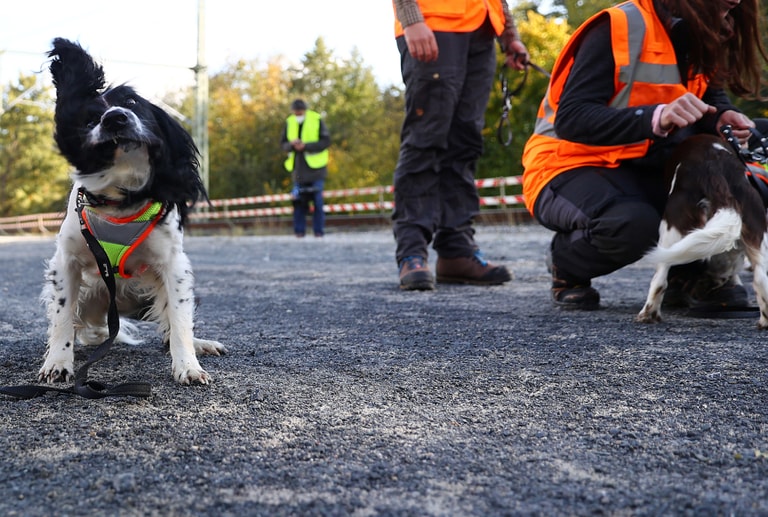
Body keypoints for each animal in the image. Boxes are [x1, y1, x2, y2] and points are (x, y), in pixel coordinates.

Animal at [40, 38, 225, 384]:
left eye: (132, 102)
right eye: (90, 120)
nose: (115, 118)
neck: (119, 198)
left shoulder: (174, 266)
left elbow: (180, 321)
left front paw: (188, 366)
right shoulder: (66, 264)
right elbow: (62, 318)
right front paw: (57, 362)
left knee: (170, 326)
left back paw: (198, 344)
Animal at [636, 133, 768, 326]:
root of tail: (714, 167)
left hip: (670, 230)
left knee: (660, 278)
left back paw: (648, 314)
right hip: (757, 226)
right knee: (760, 279)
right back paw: (764, 321)